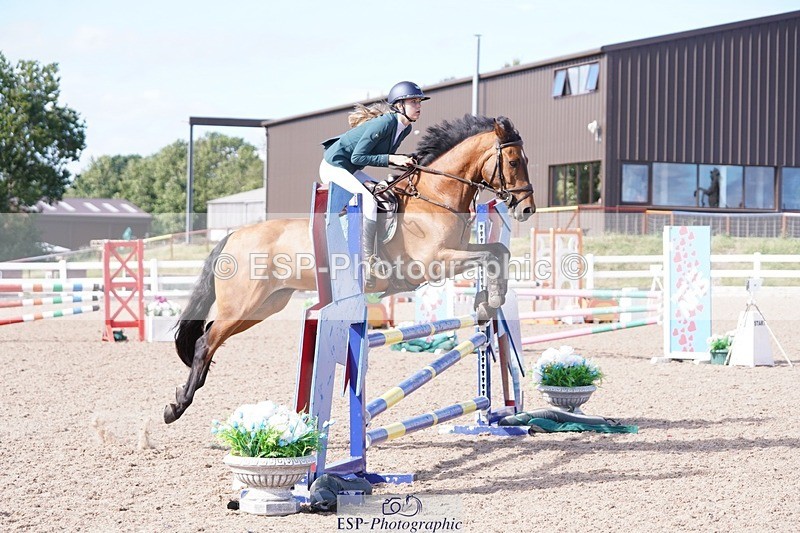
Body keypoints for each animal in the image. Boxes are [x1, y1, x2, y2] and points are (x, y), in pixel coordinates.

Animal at [164, 114, 535, 424]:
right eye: (513, 161)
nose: (527, 209)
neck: (436, 196)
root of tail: (232, 236)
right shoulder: (434, 262)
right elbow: (489, 257)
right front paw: (489, 302)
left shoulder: (458, 251)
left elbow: (498, 251)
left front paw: (486, 304)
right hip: (243, 304)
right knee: (205, 342)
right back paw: (177, 407)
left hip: (264, 306)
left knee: (209, 336)